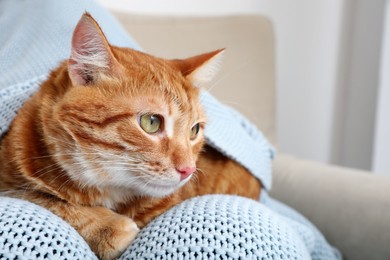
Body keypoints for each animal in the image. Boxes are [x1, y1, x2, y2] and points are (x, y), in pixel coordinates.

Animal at [1, 13, 262, 258]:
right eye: (151, 122)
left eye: (194, 130)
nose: (188, 170)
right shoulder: (10, 179)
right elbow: (41, 197)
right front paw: (106, 226)